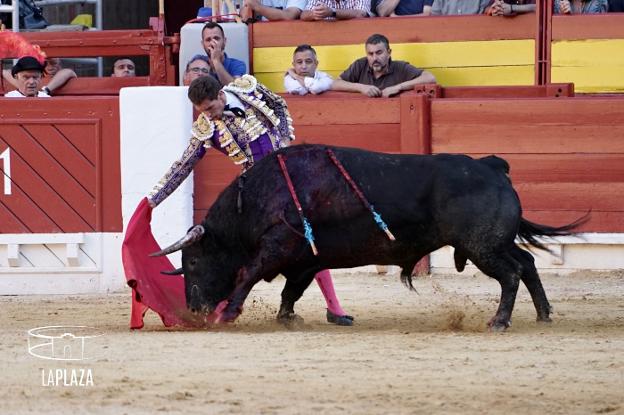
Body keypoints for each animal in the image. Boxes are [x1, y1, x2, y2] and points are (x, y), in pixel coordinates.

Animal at [155, 145, 584, 334]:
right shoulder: (307, 259)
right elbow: (293, 289)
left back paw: (499, 321)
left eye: (194, 262)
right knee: (527, 264)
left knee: (511, 274)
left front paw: (228, 313)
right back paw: (544, 313)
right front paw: (288, 317)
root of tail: (492, 166)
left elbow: (249, 273)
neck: (259, 196)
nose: (193, 310)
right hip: (494, 243)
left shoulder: (278, 247)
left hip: (483, 247)